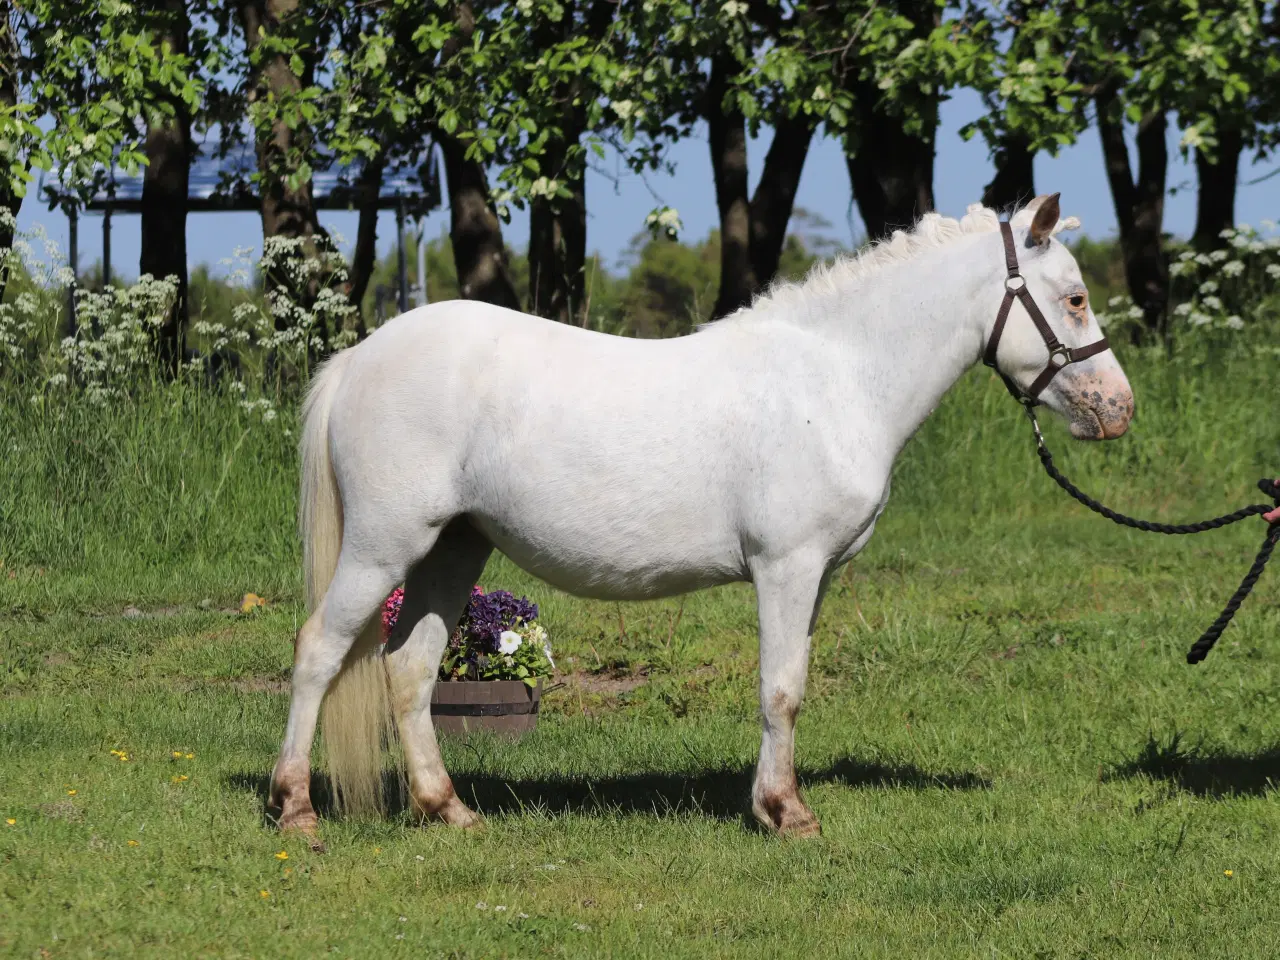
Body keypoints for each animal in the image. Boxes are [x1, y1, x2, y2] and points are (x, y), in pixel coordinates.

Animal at [267, 195, 1131, 839]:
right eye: (1075, 298)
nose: (1117, 409)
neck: (835, 376)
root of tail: (360, 358)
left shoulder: (815, 578)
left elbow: (793, 682)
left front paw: (774, 801)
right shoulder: (785, 567)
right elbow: (779, 690)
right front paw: (786, 814)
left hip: (454, 548)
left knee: (410, 668)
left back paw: (448, 809)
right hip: (382, 545)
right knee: (318, 652)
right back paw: (296, 809)